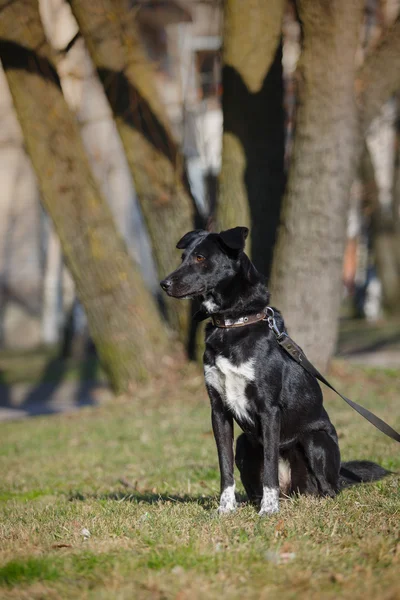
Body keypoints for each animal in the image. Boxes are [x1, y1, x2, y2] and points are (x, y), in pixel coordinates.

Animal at [160, 226, 390, 516]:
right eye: (183, 257)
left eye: (200, 258)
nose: (164, 284)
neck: (233, 323)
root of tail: (294, 491)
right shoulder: (218, 410)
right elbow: (224, 466)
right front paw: (226, 509)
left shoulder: (268, 410)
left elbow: (269, 464)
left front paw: (269, 510)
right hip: (244, 444)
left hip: (315, 440)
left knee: (329, 489)